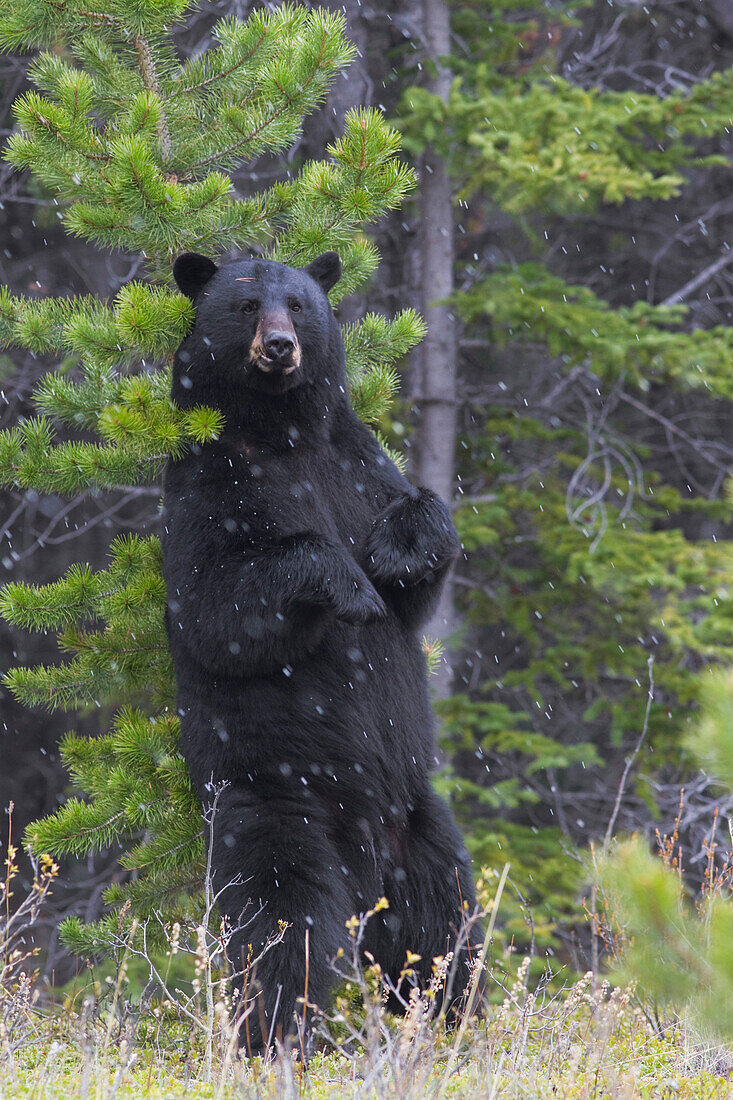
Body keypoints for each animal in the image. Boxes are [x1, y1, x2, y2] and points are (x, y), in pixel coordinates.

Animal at [160, 249, 479, 1047]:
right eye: (246, 306)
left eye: (299, 304)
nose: (279, 347)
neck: (285, 435)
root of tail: (369, 870)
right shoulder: (208, 484)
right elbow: (220, 601)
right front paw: (348, 584)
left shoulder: (356, 467)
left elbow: (413, 565)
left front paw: (399, 549)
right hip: (274, 801)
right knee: (285, 926)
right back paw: (282, 1038)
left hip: (423, 825)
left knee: (446, 927)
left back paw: (450, 1024)